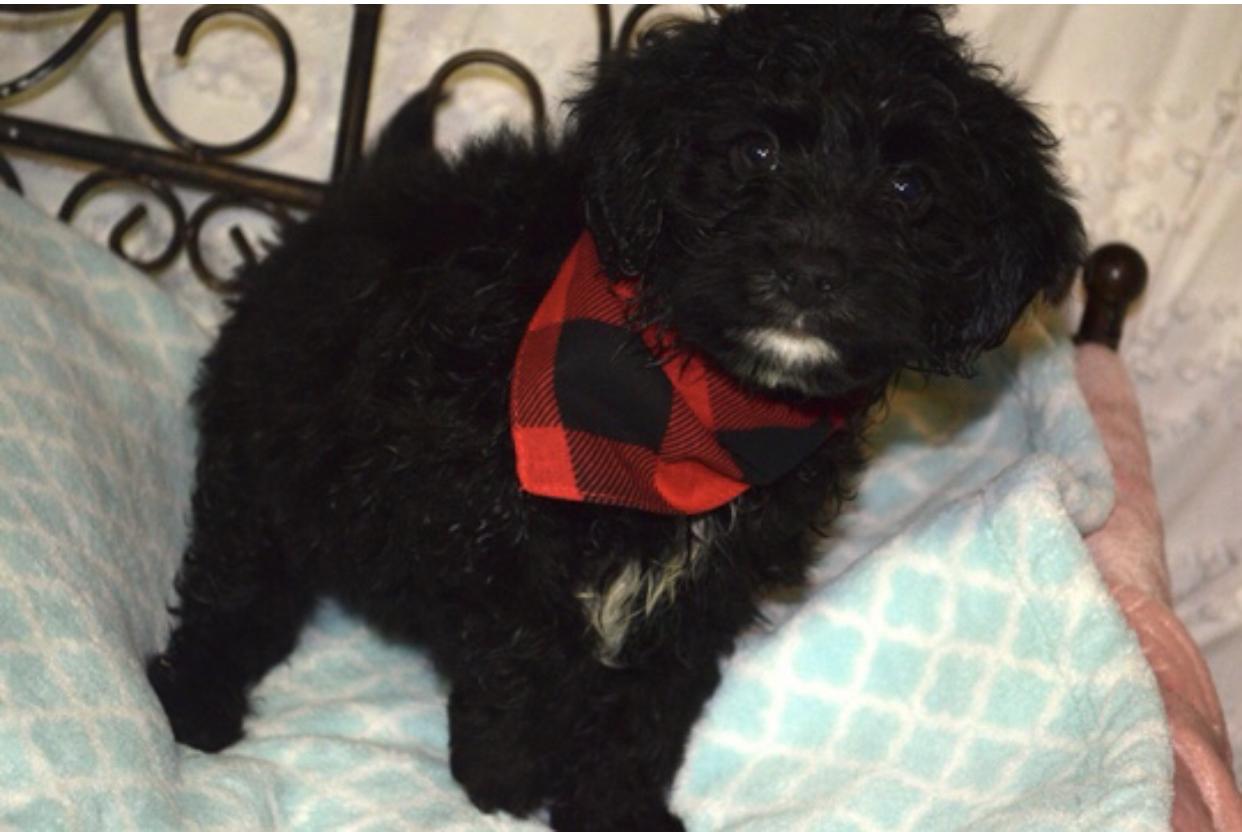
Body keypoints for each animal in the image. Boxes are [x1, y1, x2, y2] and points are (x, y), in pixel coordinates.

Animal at [146, 7, 1085, 831]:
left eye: (910, 187)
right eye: (755, 149)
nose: (813, 270)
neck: (690, 406)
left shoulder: (703, 589)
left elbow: (646, 710)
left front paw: (611, 807)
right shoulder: (490, 532)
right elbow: (522, 659)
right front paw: (503, 775)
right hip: (269, 449)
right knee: (240, 577)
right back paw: (197, 697)